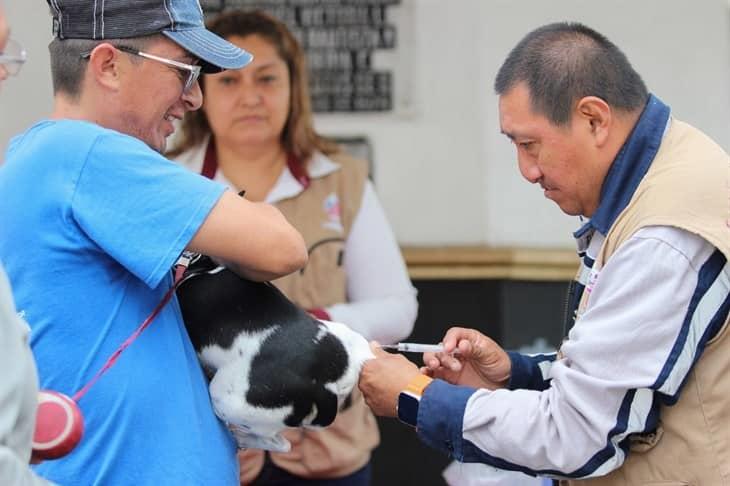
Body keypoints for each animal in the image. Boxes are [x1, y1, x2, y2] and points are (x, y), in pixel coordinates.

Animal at [175, 254, 370, 452]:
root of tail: (324, 384)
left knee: (276, 442)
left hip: (226, 400)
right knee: (284, 445)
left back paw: (240, 438)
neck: (201, 266)